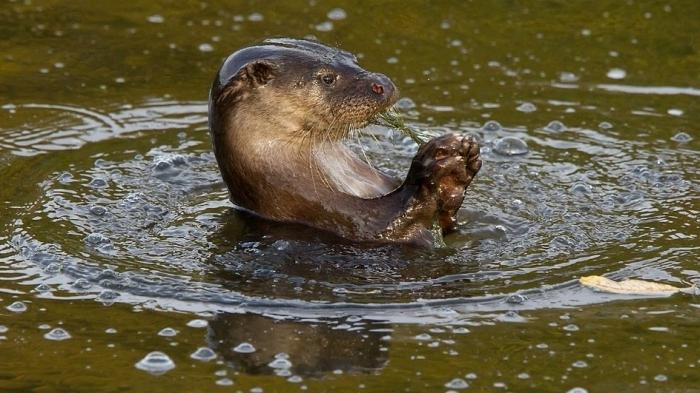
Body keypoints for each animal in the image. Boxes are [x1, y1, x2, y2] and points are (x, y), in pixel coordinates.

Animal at [208, 37, 482, 245]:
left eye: (352, 58)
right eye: (327, 79)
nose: (382, 84)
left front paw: (458, 170)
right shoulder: (329, 213)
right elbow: (388, 223)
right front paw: (437, 163)